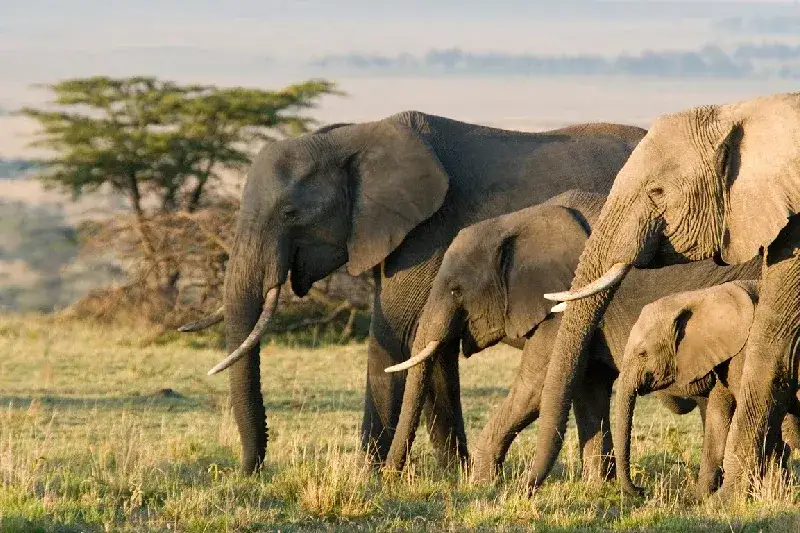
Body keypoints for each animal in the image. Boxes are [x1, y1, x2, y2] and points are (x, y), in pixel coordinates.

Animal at [179, 111, 647, 472]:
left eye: (291, 213)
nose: (249, 471)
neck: (353, 137)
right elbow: (431, 349)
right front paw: (452, 474)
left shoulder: (426, 234)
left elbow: (398, 337)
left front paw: (367, 476)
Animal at [383, 190, 762, 481]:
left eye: (456, 291)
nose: (390, 478)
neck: (518, 221)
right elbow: (588, 387)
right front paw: (598, 487)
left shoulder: (561, 305)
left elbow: (535, 388)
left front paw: (482, 485)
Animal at [614, 280, 800, 498]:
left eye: (642, 353)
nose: (641, 490)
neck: (699, 297)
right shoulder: (721, 356)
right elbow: (718, 415)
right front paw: (697, 498)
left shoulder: (745, 351)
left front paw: (773, 492)